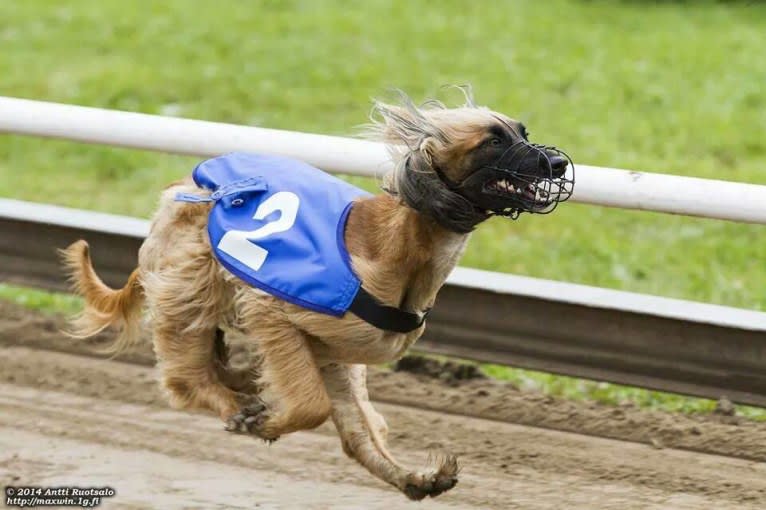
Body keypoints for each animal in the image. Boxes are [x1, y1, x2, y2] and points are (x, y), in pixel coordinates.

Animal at [61, 90, 576, 498]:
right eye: (493, 140)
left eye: (522, 131)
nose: (558, 164)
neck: (403, 249)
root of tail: (181, 188)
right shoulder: (275, 312)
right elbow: (310, 406)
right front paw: (260, 421)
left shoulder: (335, 353)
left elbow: (357, 428)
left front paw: (417, 475)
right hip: (191, 282)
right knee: (185, 377)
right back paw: (236, 404)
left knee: (348, 428)